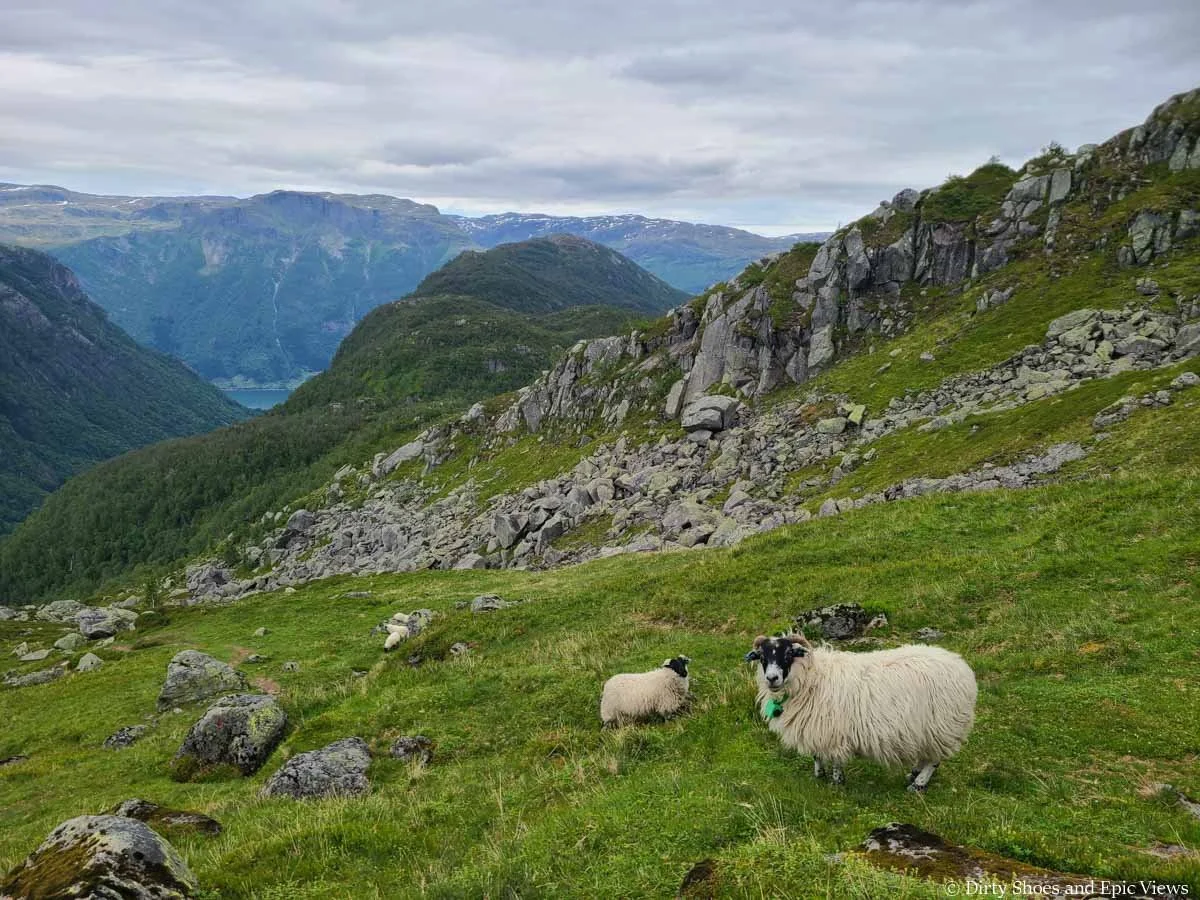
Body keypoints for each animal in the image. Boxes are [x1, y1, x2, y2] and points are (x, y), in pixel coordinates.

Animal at [744, 634, 976, 792]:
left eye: (788, 654)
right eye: (762, 657)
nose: (772, 678)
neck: (810, 678)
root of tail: (962, 666)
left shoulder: (832, 731)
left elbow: (835, 760)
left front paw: (837, 782)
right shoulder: (815, 727)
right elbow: (816, 755)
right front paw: (819, 775)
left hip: (942, 726)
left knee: (935, 759)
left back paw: (918, 784)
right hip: (927, 729)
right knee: (927, 754)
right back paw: (914, 773)